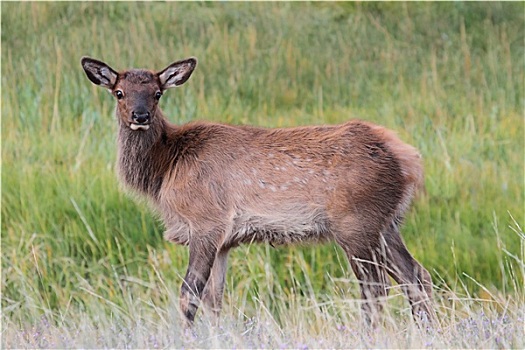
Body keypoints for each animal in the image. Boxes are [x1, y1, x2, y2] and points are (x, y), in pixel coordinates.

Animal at [81, 56, 434, 326]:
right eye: (119, 92)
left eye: (157, 93)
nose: (140, 115)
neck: (165, 170)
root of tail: (408, 158)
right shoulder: (224, 241)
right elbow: (215, 300)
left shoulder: (206, 222)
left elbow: (188, 295)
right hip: (387, 224)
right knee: (416, 276)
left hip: (356, 223)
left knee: (375, 289)